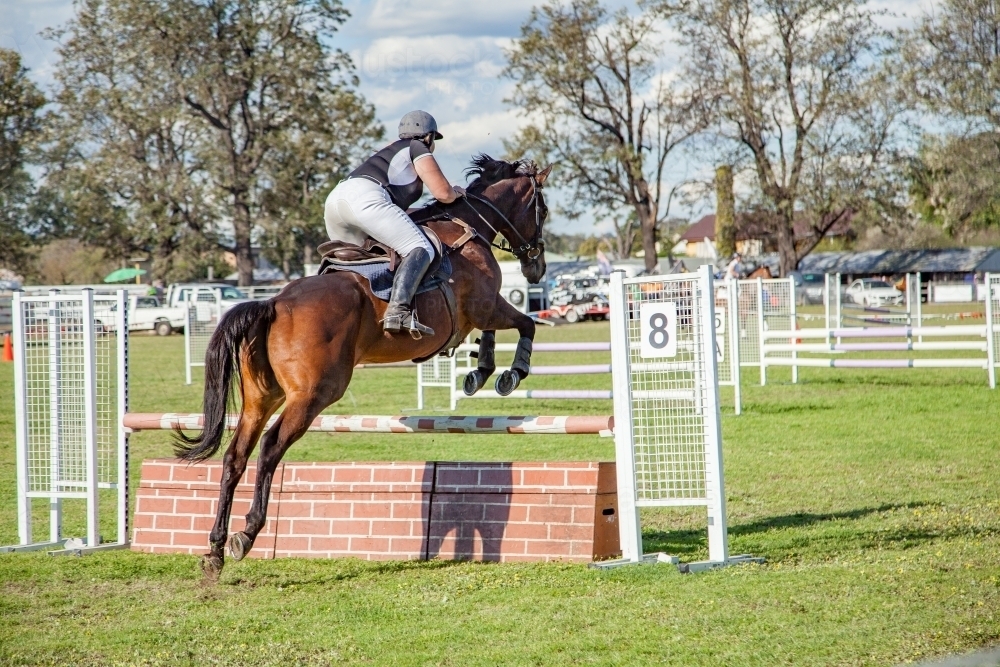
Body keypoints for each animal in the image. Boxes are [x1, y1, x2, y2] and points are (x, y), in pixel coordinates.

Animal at [174, 155, 552, 579]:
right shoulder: (486, 305)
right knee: (270, 447)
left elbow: (495, 333)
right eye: (542, 211)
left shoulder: (482, 312)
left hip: (261, 397)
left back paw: (215, 550)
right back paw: (247, 533)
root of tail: (274, 303)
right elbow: (526, 323)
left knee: (236, 455)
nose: (537, 269)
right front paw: (511, 373)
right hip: (314, 394)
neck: (469, 229)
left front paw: (479, 372)